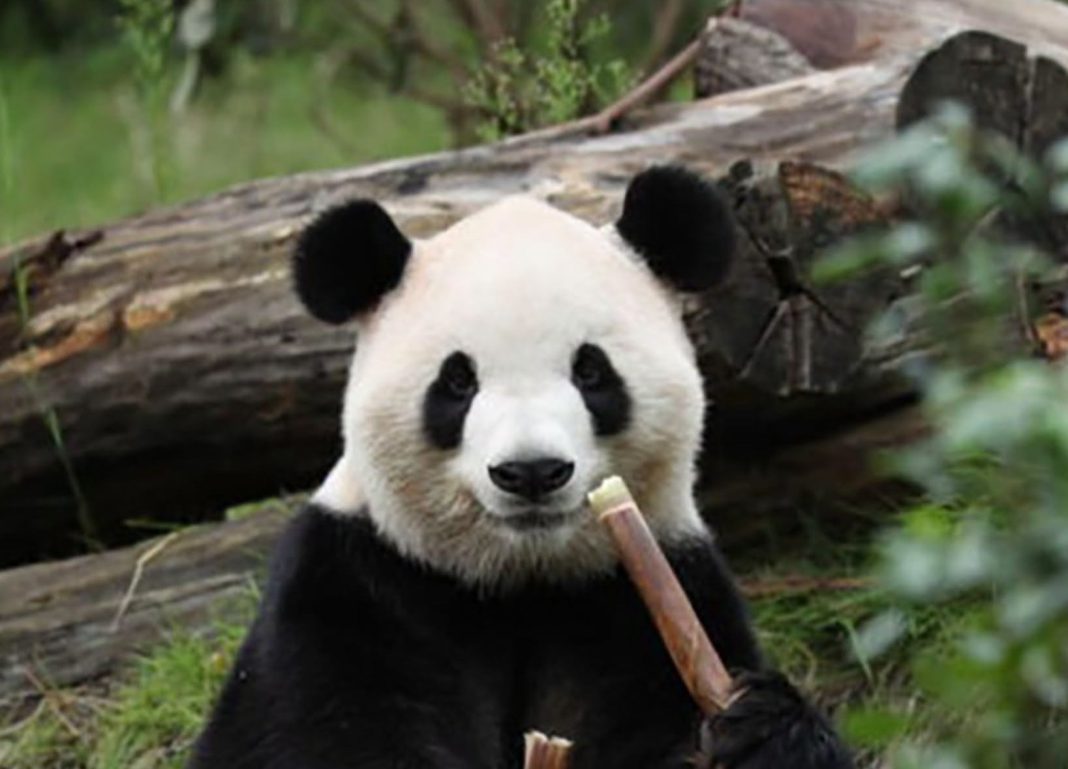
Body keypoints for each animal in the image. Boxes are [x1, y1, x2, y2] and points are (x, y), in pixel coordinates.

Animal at [188, 166, 853, 769]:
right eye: (458, 381)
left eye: (591, 371)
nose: (532, 472)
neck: (520, 579)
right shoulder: (351, 586)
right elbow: (320, 735)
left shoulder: (646, 594)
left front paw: (767, 731)